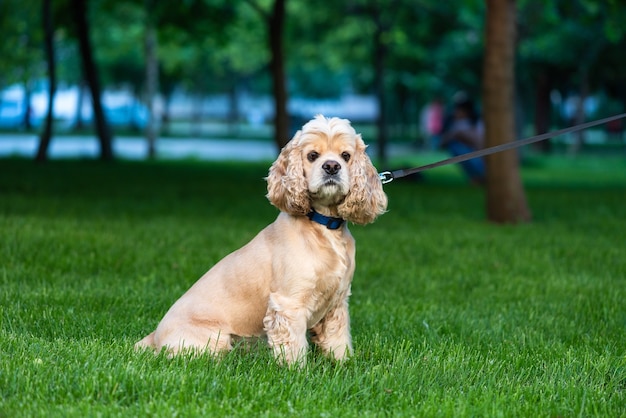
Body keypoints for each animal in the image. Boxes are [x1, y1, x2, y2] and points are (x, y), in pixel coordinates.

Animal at [136, 115, 386, 366]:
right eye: (312, 155)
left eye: (346, 155)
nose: (332, 167)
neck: (325, 225)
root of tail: (153, 338)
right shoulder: (289, 303)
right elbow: (293, 347)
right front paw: (298, 371)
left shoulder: (338, 302)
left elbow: (338, 338)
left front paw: (342, 364)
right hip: (216, 340)